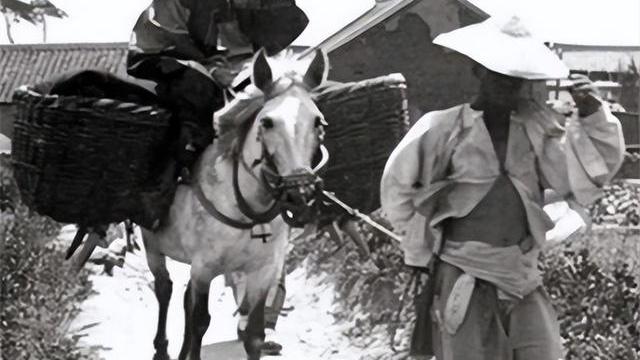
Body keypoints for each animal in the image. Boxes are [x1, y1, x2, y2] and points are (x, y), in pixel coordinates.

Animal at [142, 50, 328, 360]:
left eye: (317, 122)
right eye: (267, 122)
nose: (299, 195)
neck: (246, 208)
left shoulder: (263, 272)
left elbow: (254, 335)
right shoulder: (203, 268)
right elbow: (200, 322)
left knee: (182, 298)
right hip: (152, 247)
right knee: (164, 289)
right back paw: (161, 348)